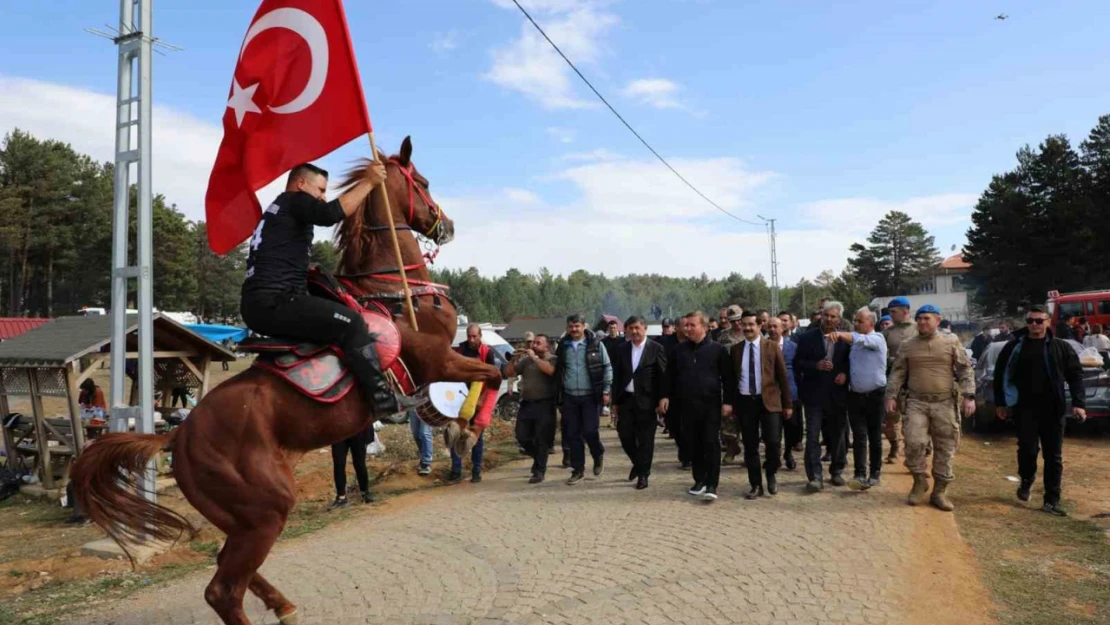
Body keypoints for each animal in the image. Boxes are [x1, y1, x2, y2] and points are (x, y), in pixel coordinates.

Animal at [70, 138, 503, 625]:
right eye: (423, 182)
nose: (446, 225)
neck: (395, 293)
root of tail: (177, 437)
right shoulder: (438, 361)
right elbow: (493, 373)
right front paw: (466, 429)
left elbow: (488, 377)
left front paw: (459, 429)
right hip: (267, 508)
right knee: (223, 590)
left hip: (239, 515)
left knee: (226, 563)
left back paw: (283, 603)